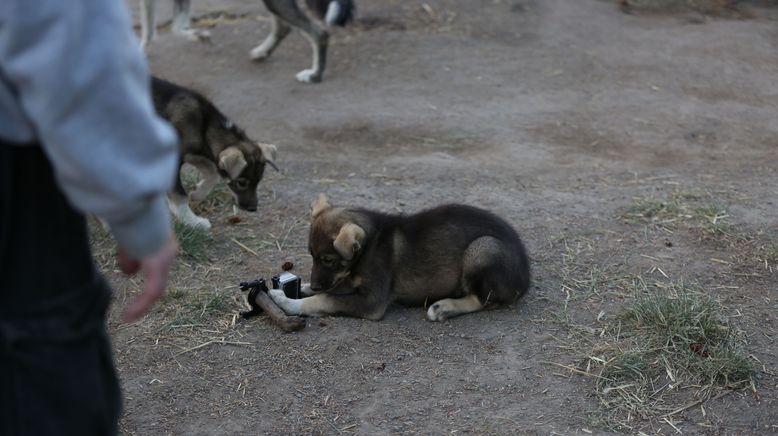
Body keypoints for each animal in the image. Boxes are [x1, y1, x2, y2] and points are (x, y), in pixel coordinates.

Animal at [150, 76, 278, 230]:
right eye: (241, 183)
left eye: (259, 180)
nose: (253, 208)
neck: (205, 125)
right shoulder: (173, 161)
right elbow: (180, 195)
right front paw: (193, 222)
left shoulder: (196, 154)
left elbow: (212, 173)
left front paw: (197, 193)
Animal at [266, 196, 528, 322]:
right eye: (312, 255)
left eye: (328, 259)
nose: (317, 283)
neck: (370, 244)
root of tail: (526, 278)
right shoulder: (350, 280)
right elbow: (329, 290)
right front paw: (299, 288)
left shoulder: (372, 301)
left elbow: (324, 299)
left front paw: (286, 301)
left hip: (483, 249)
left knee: (480, 299)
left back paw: (443, 307)